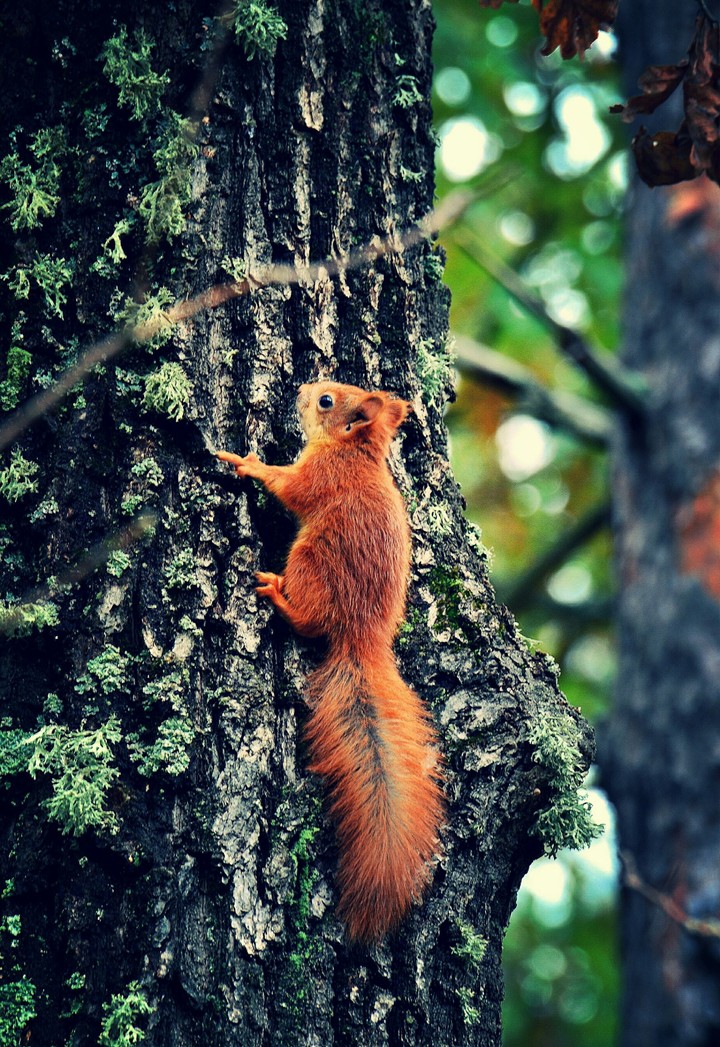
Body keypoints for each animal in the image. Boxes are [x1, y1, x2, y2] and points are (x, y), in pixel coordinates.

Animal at [217, 380, 445, 943]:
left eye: (327, 401)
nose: (301, 388)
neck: (354, 451)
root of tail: (361, 638)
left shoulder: (318, 474)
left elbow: (288, 485)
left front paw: (247, 463)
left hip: (310, 560)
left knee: (306, 620)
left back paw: (278, 598)